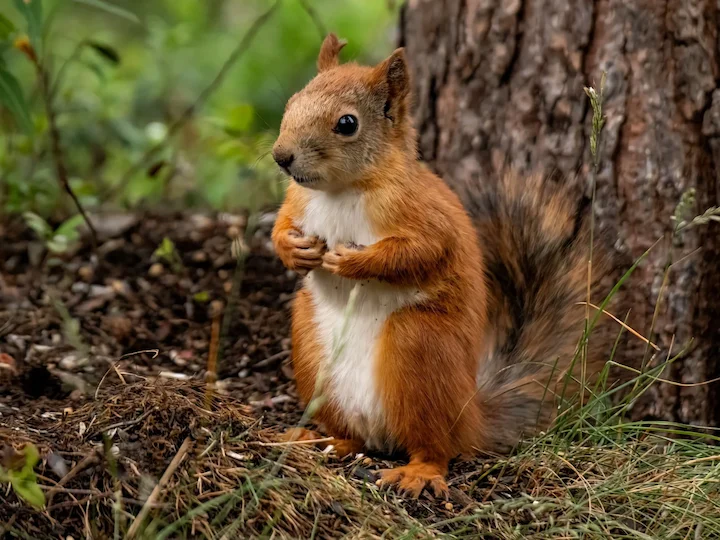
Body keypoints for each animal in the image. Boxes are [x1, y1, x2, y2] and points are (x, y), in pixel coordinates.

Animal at [271, 34, 615, 498]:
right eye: (292, 102)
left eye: (347, 123)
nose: (281, 157)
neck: (341, 191)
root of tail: (470, 417)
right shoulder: (297, 203)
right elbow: (280, 227)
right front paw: (294, 250)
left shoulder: (426, 218)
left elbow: (418, 253)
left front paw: (353, 261)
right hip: (310, 346)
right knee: (353, 437)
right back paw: (317, 439)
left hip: (419, 348)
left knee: (435, 448)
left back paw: (417, 472)